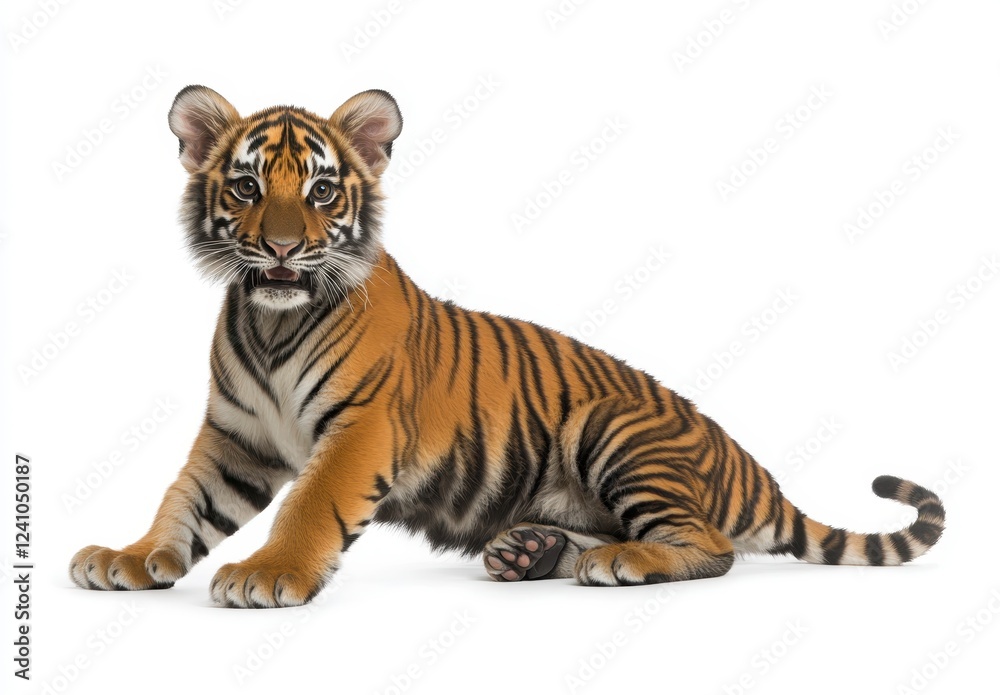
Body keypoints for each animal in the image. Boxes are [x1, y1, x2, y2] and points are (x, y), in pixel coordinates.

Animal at [69, 86, 945, 608]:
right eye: (247, 186)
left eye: (320, 191)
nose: (283, 250)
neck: (272, 318)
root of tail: (744, 459)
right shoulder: (237, 437)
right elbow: (184, 499)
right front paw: (132, 556)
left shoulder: (360, 428)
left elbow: (309, 503)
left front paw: (268, 573)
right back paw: (531, 552)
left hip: (611, 423)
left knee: (711, 542)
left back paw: (621, 563)